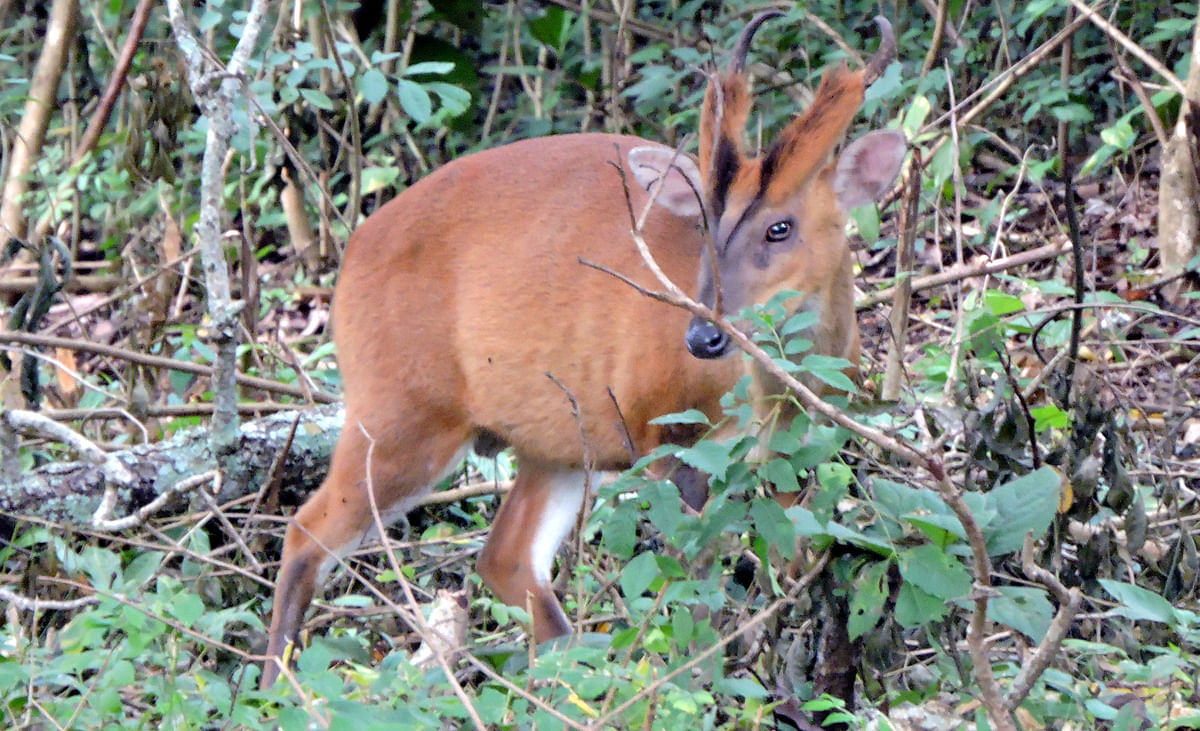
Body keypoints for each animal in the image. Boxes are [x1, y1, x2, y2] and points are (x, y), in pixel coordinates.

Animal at [260, 12, 902, 681]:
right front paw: (701, 674)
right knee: (306, 533)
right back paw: (282, 687)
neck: (770, 389)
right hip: (401, 414)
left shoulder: (795, 445)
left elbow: (792, 550)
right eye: (704, 226)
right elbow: (692, 573)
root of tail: (348, 264)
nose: (702, 335)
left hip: (554, 441)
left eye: (781, 227)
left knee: (503, 556)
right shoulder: (665, 430)